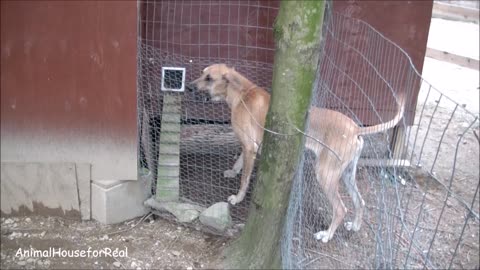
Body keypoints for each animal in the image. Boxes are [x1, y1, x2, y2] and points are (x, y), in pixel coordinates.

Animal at [191, 63, 404, 243]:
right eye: (202, 72)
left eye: (209, 78)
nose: (190, 87)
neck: (241, 94)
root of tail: (355, 129)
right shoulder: (249, 145)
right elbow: (239, 163)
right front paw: (232, 172)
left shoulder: (250, 148)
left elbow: (244, 179)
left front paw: (238, 198)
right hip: (347, 174)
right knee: (360, 201)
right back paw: (356, 226)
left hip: (325, 175)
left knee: (341, 209)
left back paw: (327, 235)